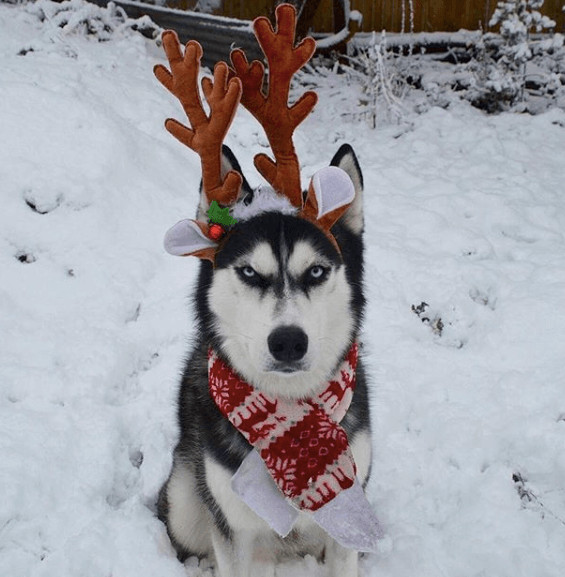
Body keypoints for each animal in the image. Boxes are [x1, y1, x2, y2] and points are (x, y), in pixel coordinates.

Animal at [156, 141, 372, 576]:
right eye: (250, 273)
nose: (288, 342)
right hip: (187, 500)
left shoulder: (346, 519)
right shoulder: (233, 529)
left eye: (317, 272)